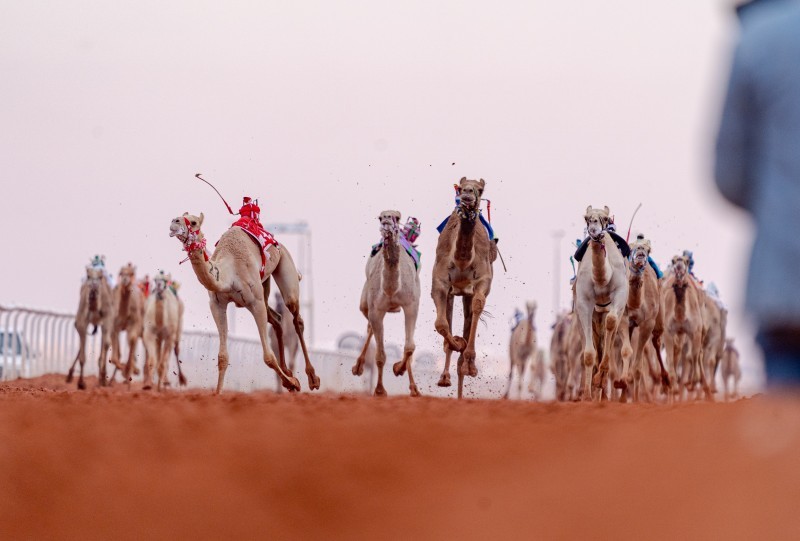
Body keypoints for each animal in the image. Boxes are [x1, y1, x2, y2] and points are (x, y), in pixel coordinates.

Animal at [170, 210, 318, 392]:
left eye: (193, 222)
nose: (174, 222)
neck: (228, 273)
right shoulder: (217, 304)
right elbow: (222, 357)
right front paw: (217, 394)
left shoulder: (255, 302)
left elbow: (268, 357)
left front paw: (293, 383)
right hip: (264, 287)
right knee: (277, 320)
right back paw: (288, 371)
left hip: (285, 265)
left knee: (297, 319)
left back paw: (312, 378)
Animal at [354, 209, 422, 394]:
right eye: (380, 217)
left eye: (397, 217)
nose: (386, 221)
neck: (392, 289)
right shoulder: (376, 309)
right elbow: (380, 356)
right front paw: (379, 390)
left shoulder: (411, 305)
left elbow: (410, 347)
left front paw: (399, 369)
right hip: (365, 302)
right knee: (369, 326)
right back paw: (357, 367)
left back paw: (414, 388)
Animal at [432, 177, 494, 396]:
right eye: (460, 188)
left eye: (480, 189)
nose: (467, 193)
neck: (461, 261)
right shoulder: (440, 283)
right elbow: (441, 325)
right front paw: (458, 343)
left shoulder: (483, 279)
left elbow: (478, 305)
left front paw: (470, 364)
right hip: (453, 295)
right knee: (448, 322)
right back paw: (445, 377)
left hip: (466, 295)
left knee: (470, 316)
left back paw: (465, 367)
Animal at [576, 205, 632, 398]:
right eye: (586, 217)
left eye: (606, 218)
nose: (594, 228)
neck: (601, 279)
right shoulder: (583, 302)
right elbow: (588, 353)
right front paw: (587, 395)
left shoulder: (620, 294)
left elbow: (611, 322)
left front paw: (600, 378)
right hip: (594, 316)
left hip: (618, 310)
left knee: (612, 331)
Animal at [660, 255, 708, 398]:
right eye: (673, 261)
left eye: (686, 261)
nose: (680, 268)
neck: (681, 316)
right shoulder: (668, 332)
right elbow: (670, 360)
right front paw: (673, 388)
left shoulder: (695, 331)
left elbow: (693, 357)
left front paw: (690, 384)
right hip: (679, 334)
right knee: (677, 351)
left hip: (702, 329)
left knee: (698, 354)